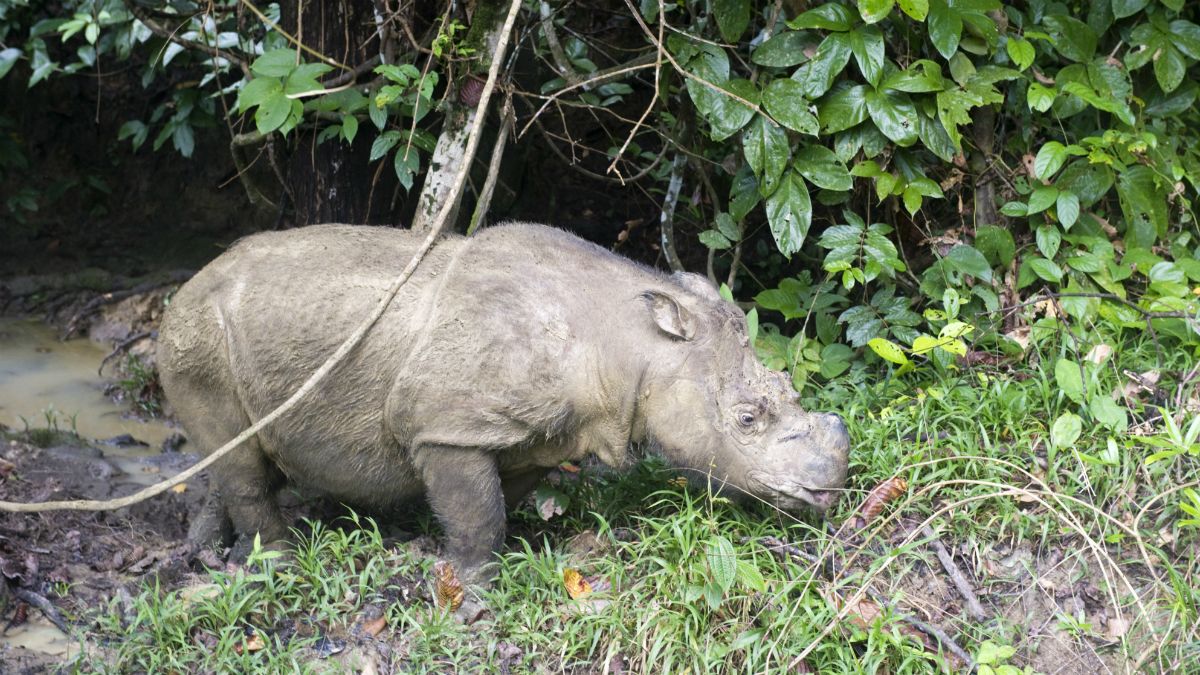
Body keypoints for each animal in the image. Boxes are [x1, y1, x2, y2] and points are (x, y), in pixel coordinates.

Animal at [159, 223, 849, 581]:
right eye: (747, 420)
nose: (830, 490)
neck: (631, 343)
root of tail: (181, 290)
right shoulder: (445, 425)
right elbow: (477, 511)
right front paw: (472, 587)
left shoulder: (539, 433)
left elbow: (500, 497)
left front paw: (518, 550)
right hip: (198, 341)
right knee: (238, 454)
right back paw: (276, 563)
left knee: (235, 454)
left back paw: (208, 552)